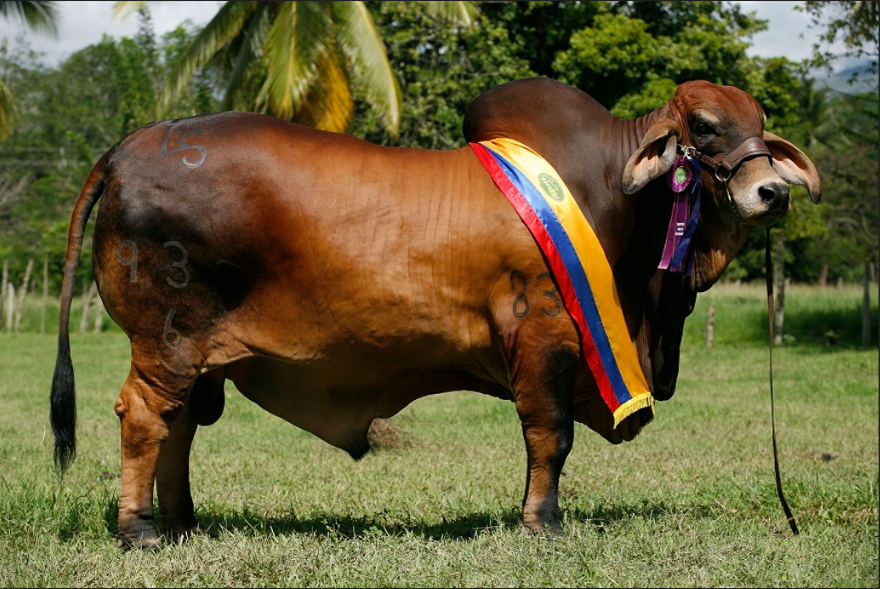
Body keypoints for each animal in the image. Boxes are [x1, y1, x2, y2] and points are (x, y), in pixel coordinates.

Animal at [46, 77, 820, 548]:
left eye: (760, 124)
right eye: (706, 126)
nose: (773, 192)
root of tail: (130, 145)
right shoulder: (544, 334)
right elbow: (551, 436)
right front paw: (542, 522)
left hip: (195, 356)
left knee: (177, 428)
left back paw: (182, 521)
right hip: (166, 340)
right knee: (145, 417)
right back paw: (141, 530)